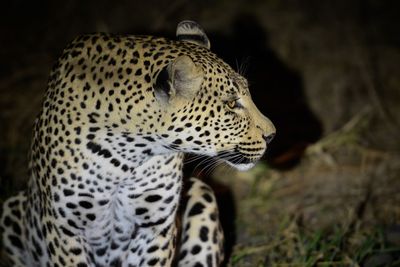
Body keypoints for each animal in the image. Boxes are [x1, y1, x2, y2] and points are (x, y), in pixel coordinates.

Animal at [0, 21, 276, 267]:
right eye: (231, 104)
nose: (272, 135)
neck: (127, 156)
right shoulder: (65, 229)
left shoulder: (155, 226)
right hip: (10, 209)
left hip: (201, 194)